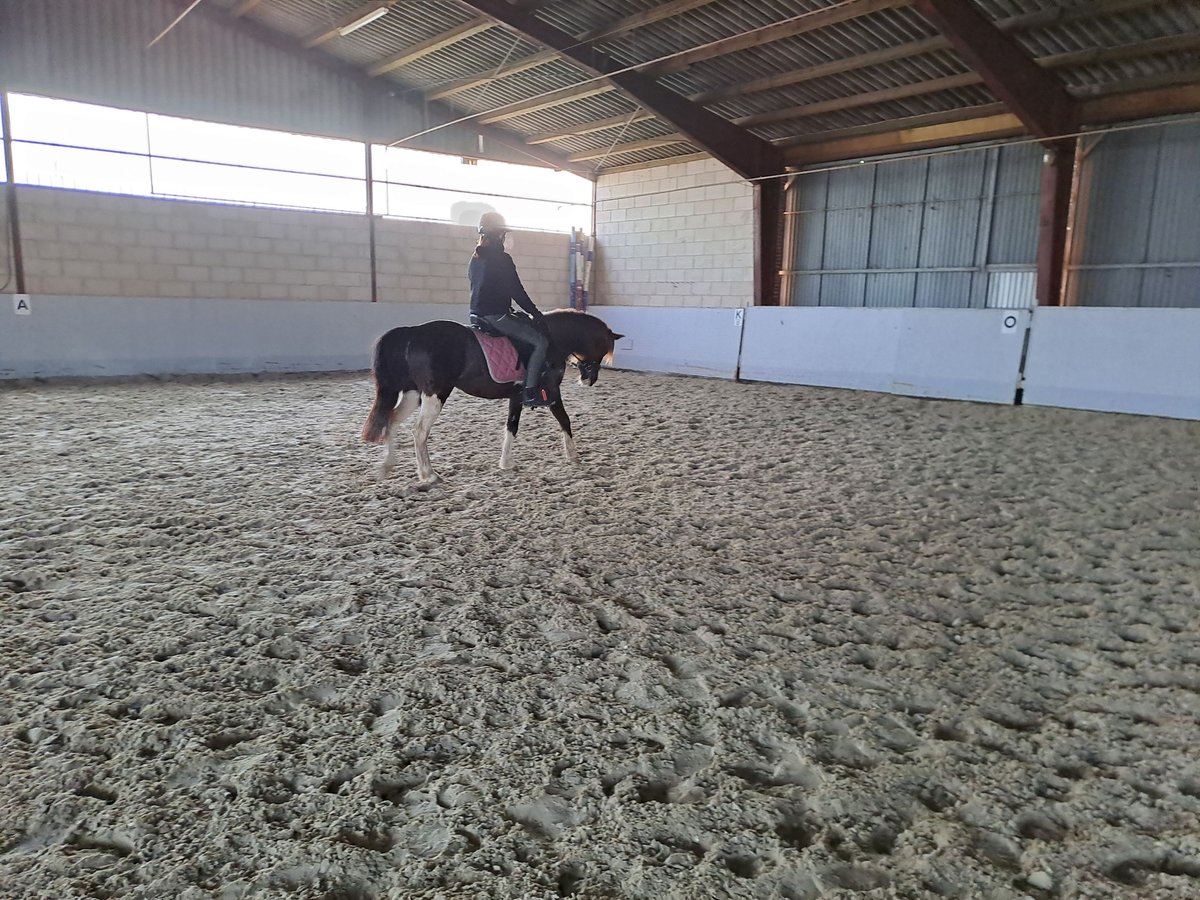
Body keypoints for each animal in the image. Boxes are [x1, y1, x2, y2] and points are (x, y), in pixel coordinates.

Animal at [360, 309, 624, 487]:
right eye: (602, 347)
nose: (590, 380)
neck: (553, 340)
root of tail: (413, 333)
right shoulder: (552, 392)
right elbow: (565, 420)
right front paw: (574, 456)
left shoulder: (517, 396)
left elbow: (511, 427)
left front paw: (505, 463)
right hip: (436, 394)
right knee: (419, 431)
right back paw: (429, 474)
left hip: (414, 394)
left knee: (391, 420)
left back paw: (387, 466)